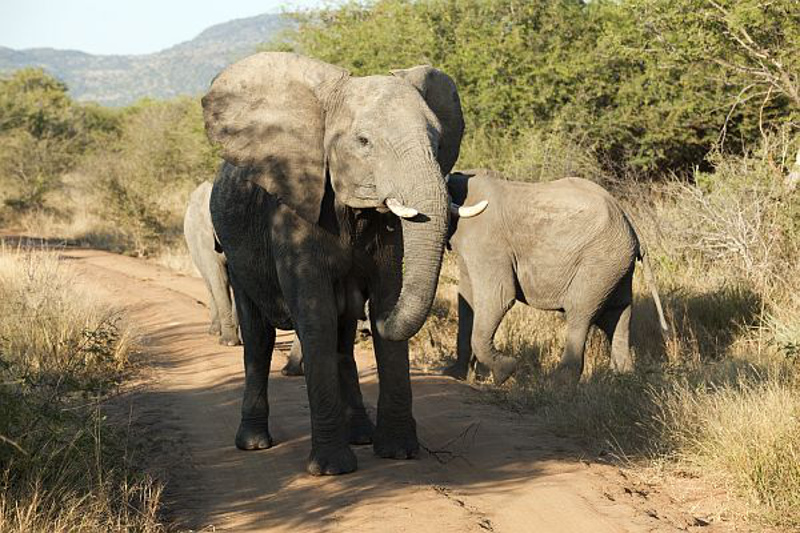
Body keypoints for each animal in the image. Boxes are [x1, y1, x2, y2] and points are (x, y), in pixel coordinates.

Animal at [202, 53, 476, 474]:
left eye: (438, 140)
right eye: (363, 141)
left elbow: (386, 295)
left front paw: (399, 452)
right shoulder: (293, 210)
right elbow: (317, 317)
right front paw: (332, 468)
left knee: (342, 340)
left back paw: (360, 434)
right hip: (235, 248)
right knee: (260, 336)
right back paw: (253, 443)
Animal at [444, 170, 668, 382]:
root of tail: (630, 223)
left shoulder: (488, 242)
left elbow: (498, 298)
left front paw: (504, 372)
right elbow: (467, 300)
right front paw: (455, 374)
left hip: (600, 260)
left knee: (580, 312)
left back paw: (557, 382)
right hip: (616, 265)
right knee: (617, 314)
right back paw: (622, 378)